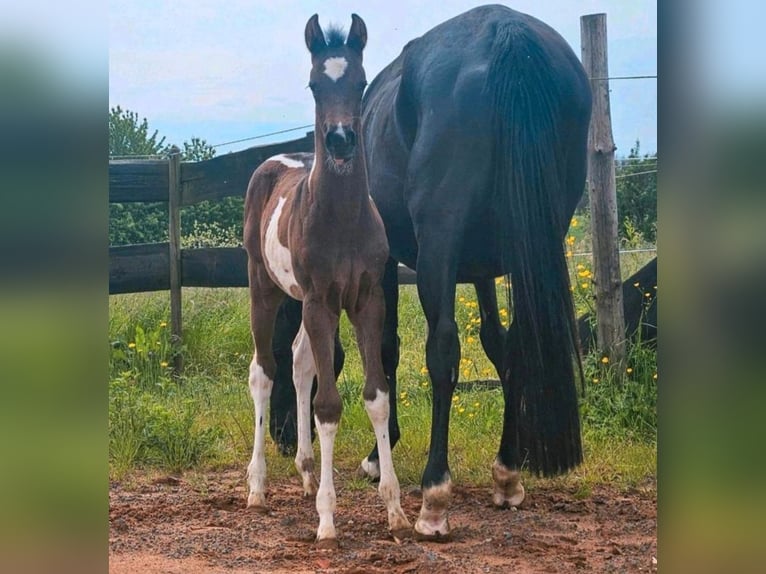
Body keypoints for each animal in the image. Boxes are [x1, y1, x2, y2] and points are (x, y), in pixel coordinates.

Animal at [242, 13, 410, 548]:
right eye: (315, 85)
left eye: (360, 82)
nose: (339, 140)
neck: (341, 220)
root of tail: (274, 162)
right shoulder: (320, 301)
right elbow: (329, 405)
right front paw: (328, 519)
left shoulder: (365, 300)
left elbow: (376, 396)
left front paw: (395, 509)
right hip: (265, 288)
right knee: (263, 371)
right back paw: (257, 487)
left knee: (298, 363)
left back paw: (306, 470)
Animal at [269, 4, 592, 540]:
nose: (278, 436)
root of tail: (508, 35)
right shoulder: (482, 268)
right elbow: (499, 344)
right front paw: (505, 473)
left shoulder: (382, 270)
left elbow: (388, 350)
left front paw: (380, 458)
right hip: (535, 238)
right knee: (519, 341)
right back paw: (507, 472)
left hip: (440, 242)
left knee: (442, 351)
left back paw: (434, 496)